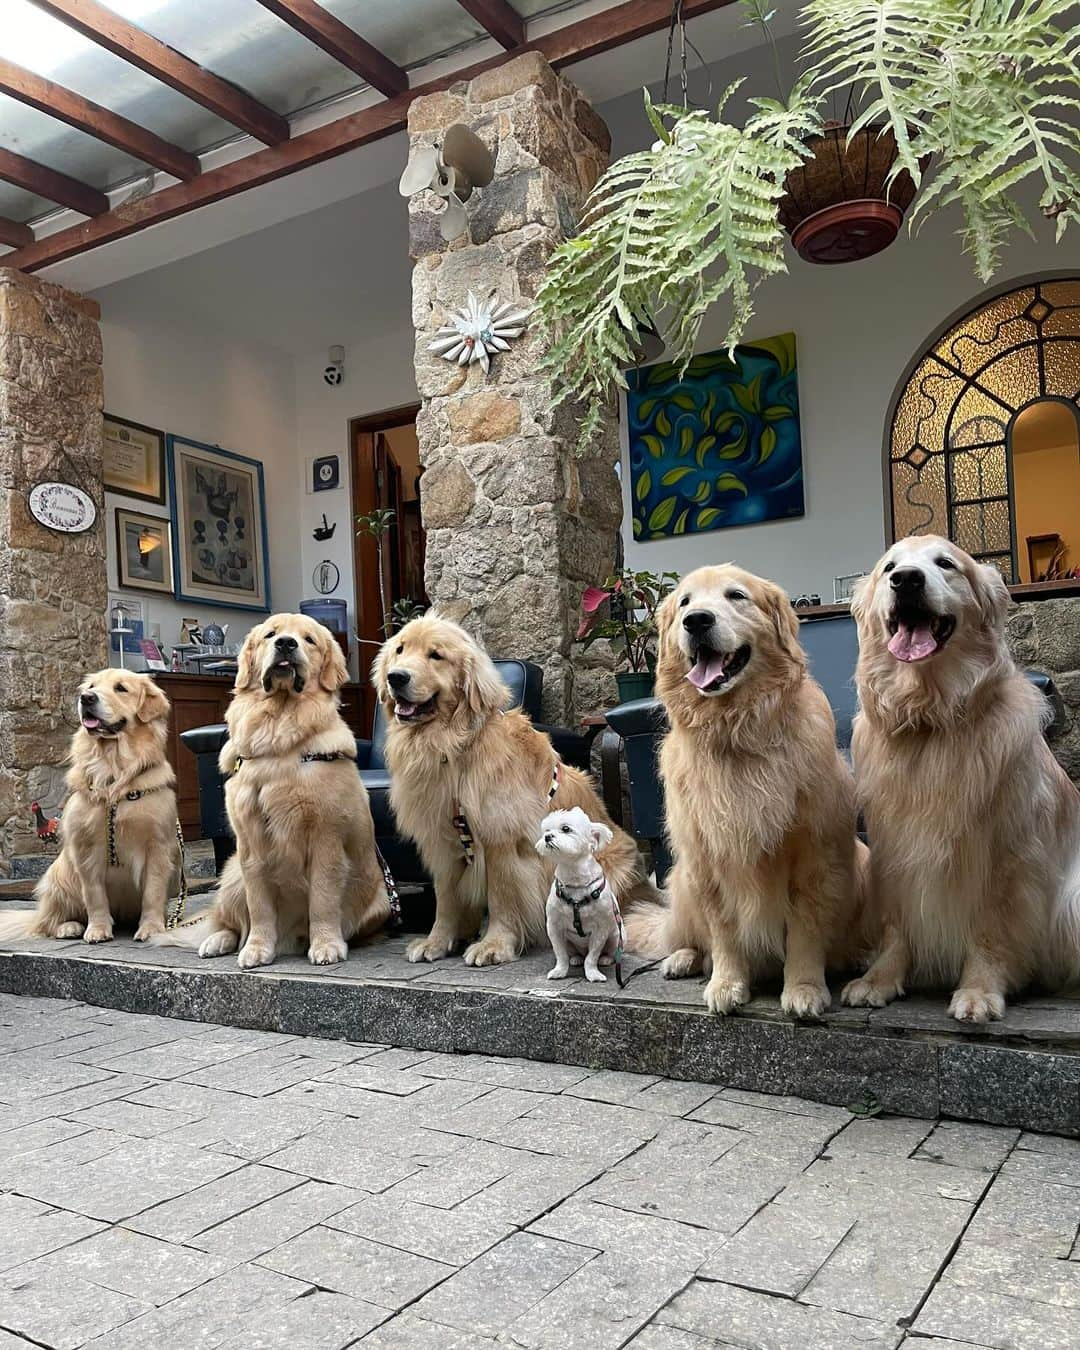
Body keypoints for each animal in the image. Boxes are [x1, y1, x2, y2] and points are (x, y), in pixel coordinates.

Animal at [534, 799, 623, 982]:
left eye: (565, 828)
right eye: (547, 830)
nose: (547, 837)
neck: (575, 880)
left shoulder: (601, 928)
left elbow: (592, 956)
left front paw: (593, 973)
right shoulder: (554, 927)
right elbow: (560, 954)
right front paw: (560, 971)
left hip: (616, 935)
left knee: (607, 952)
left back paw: (606, 959)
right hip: (570, 942)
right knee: (576, 954)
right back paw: (575, 958)